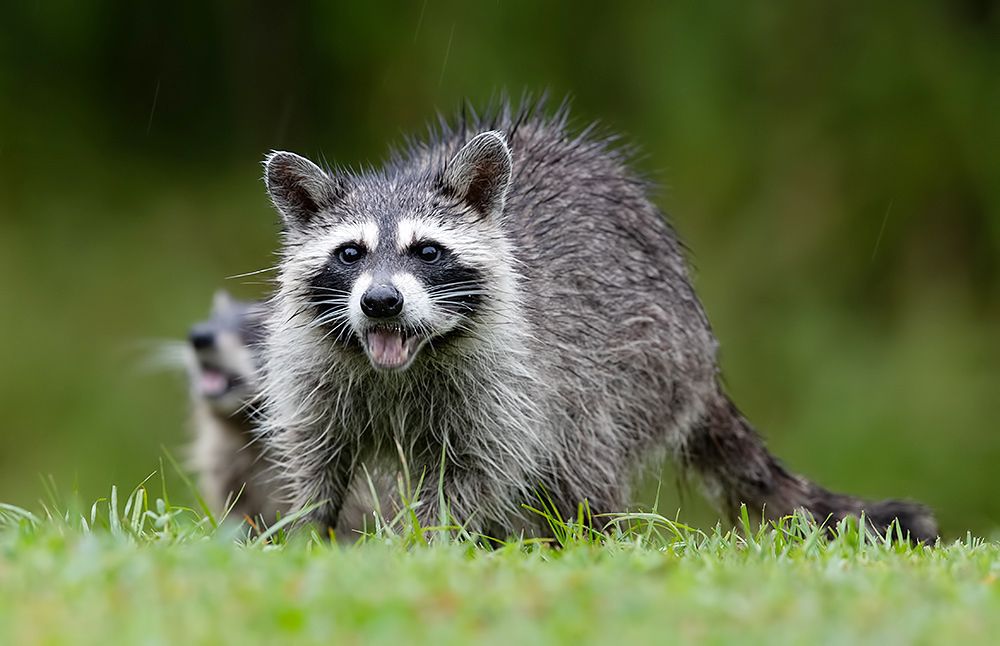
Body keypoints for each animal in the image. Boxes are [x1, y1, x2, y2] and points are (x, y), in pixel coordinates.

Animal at [259, 102, 938, 542]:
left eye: (427, 250)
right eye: (350, 253)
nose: (381, 303)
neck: (401, 366)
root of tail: (703, 347)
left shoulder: (511, 383)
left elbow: (476, 474)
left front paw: (422, 542)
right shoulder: (314, 379)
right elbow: (315, 460)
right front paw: (305, 533)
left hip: (638, 369)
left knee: (582, 460)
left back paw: (586, 539)